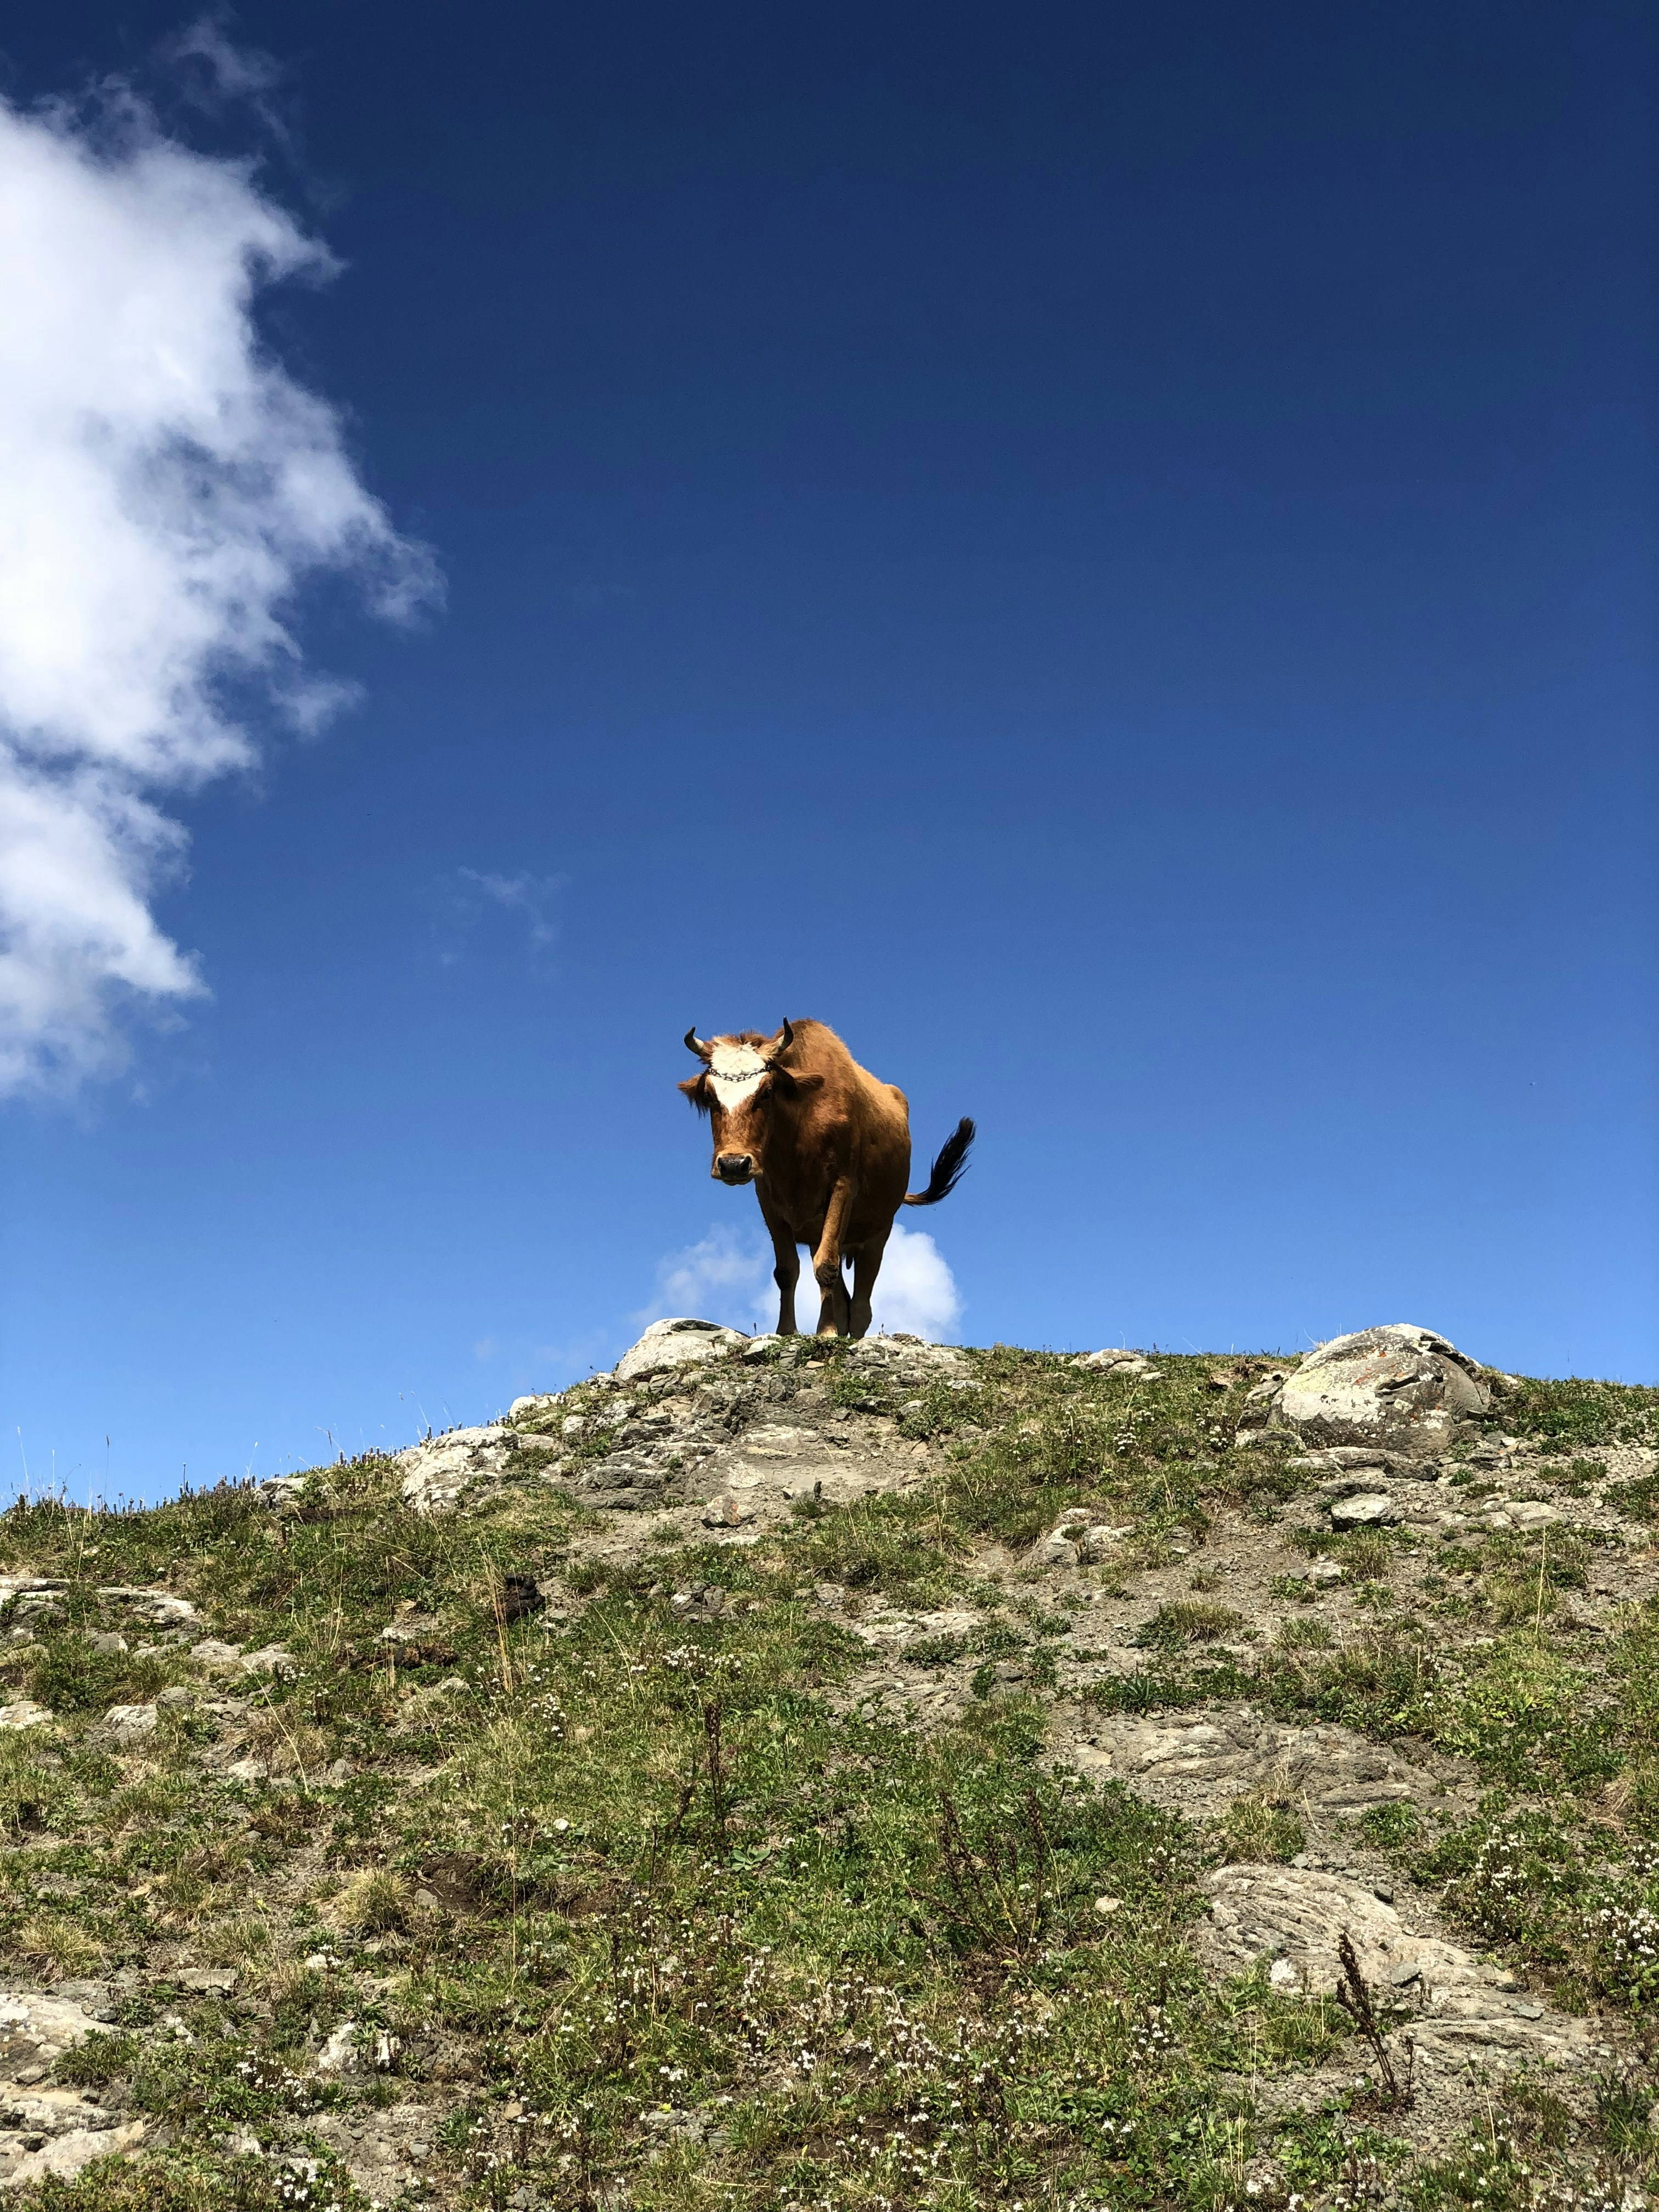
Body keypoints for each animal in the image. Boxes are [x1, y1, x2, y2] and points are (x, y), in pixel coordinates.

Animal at [678, 1018, 974, 1338]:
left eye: (767, 1092)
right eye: (709, 1096)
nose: (733, 1165)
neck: (799, 1130)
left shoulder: (843, 1187)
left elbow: (827, 1267)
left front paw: (827, 1332)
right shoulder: (768, 1200)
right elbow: (787, 1271)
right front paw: (787, 1330)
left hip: (879, 1231)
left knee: (861, 1305)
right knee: (843, 1299)